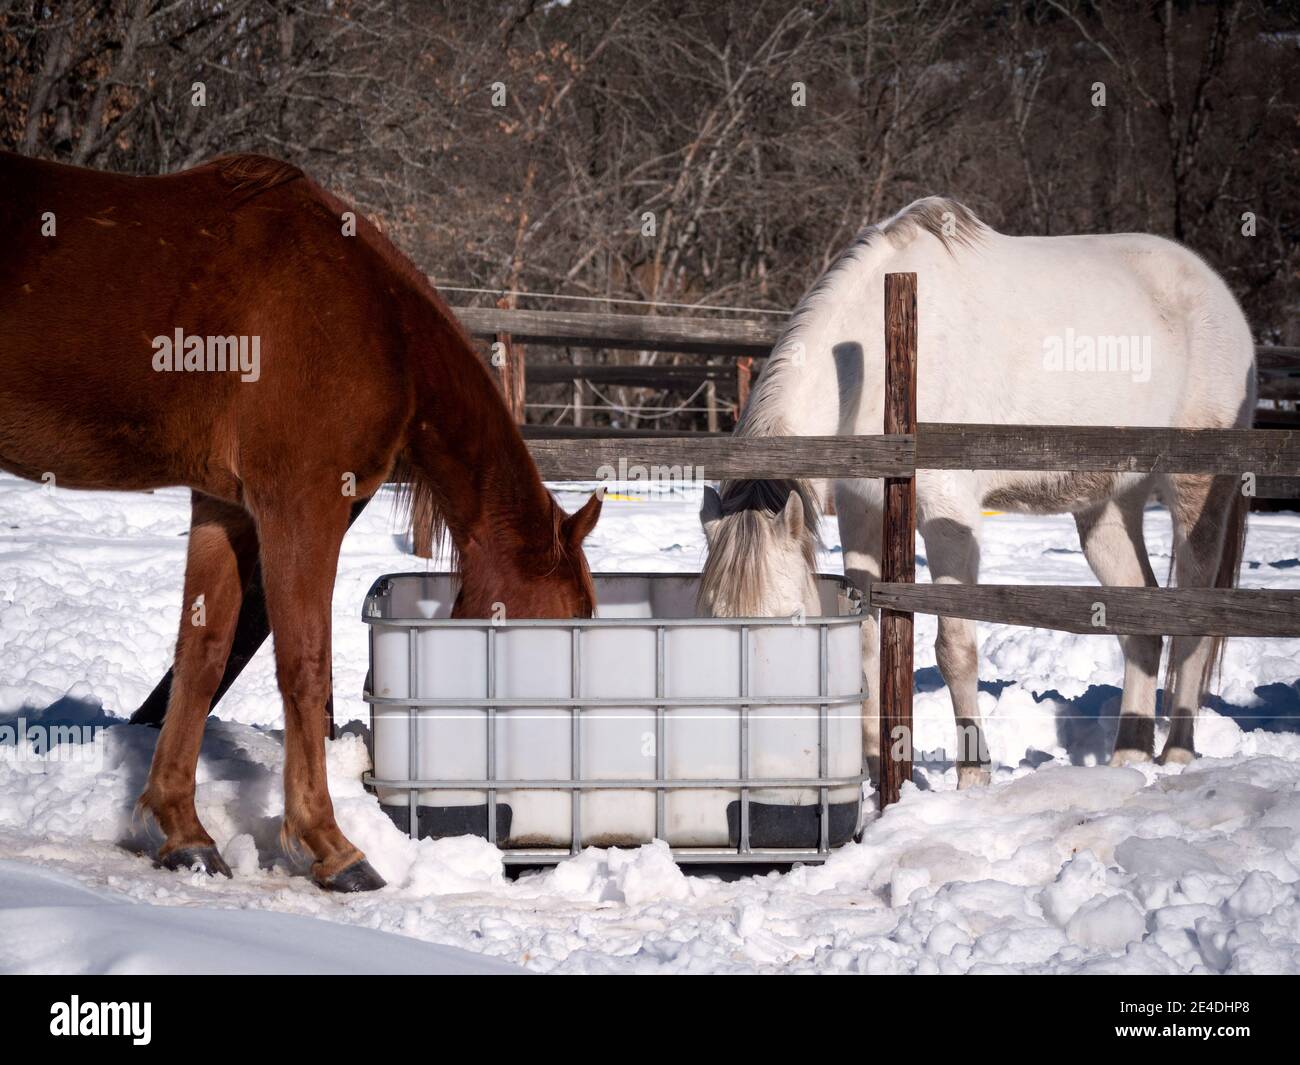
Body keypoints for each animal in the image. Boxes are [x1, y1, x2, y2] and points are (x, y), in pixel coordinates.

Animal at [0, 151, 602, 891]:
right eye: (562, 625)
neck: (374, 316)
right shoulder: (302, 503)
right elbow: (306, 665)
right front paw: (330, 845)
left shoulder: (226, 507)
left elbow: (202, 657)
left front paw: (183, 831)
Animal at [699, 197, 1253, 788]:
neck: (869, 362)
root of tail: (1218, 295)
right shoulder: (862, 511)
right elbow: (868, 638)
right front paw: (876, 772)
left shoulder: (949, 516)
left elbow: (955, 649)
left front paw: (972, 778)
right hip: (1108, 507)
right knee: (1141, 624)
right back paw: (1128, 757)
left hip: (1198, 491)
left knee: (1194, 621)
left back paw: (1177, 754)